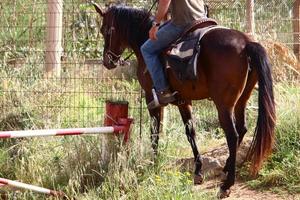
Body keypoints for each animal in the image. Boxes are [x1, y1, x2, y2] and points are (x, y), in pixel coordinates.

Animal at [92, 3, 276, 198]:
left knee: (232, 135)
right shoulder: (184, 101)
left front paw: (154, 164)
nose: (107, 61)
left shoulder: (152, 99)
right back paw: (226, 168)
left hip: (223, 105)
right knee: (242, 129)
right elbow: (191, 132)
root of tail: (246, 43)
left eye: (104, 30)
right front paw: (198, 171)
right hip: (242, 100)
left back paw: (227, 184)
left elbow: (154, 132)